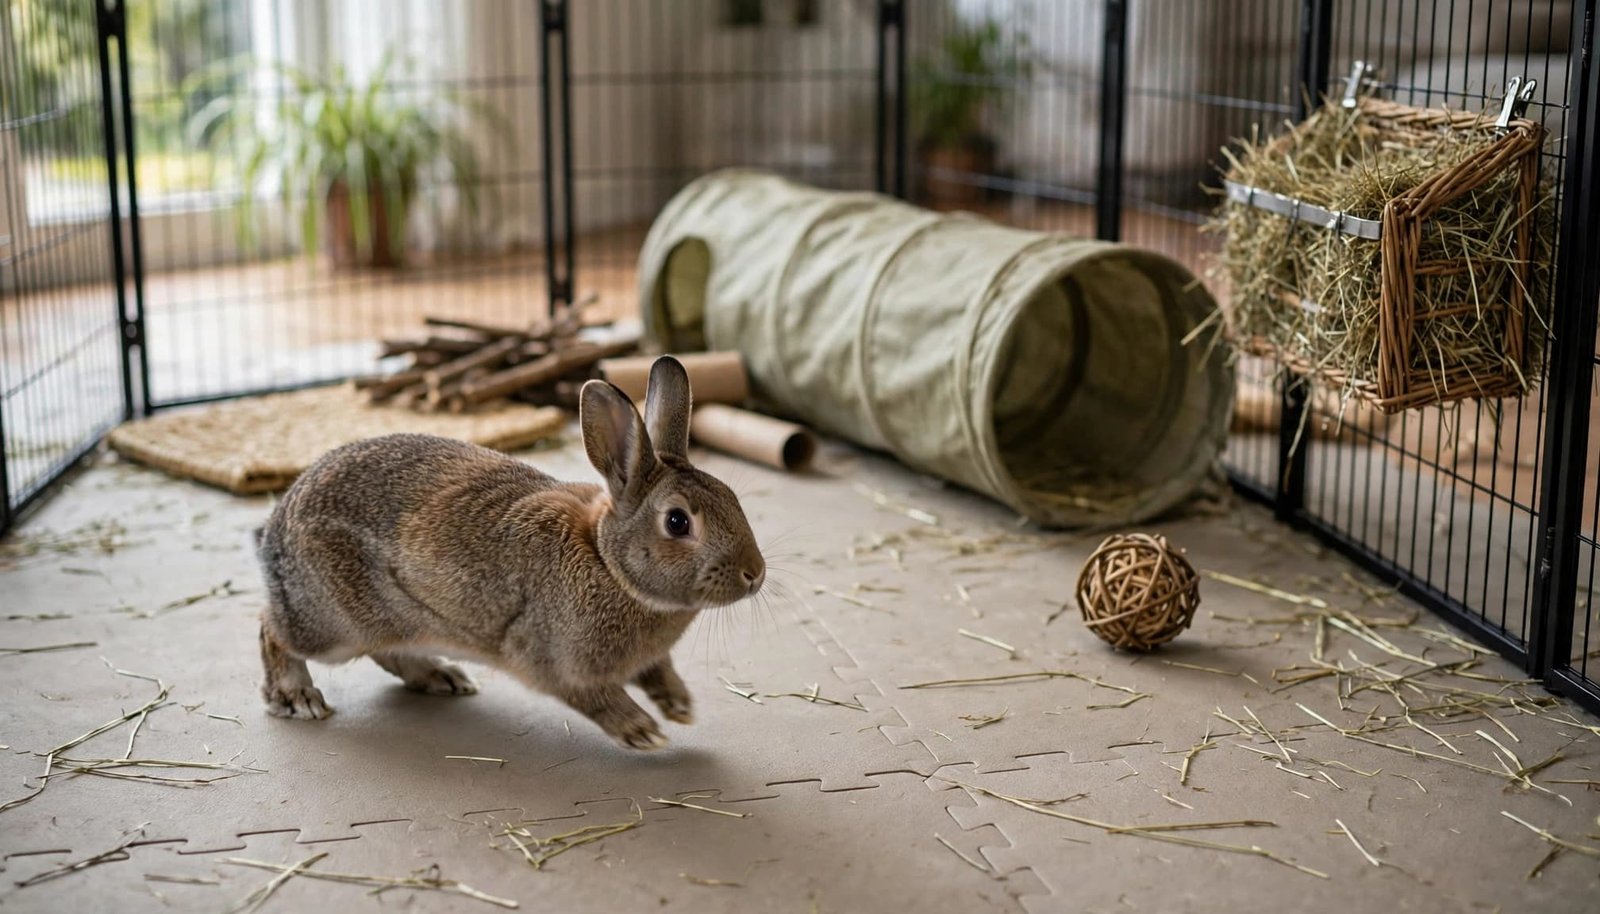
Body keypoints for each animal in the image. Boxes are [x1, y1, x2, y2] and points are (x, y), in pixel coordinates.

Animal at [253, 355, 766, 750]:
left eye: (732, 498)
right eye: (678, 522)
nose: (754, 574)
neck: (608, 561)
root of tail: (277, 526)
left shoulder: (645, 659)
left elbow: (659, 672)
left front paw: (680, 706)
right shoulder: (553, 661)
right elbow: (596, 698)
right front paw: (641, 730)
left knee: (390, 652)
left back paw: (441, 677)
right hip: (332, 625)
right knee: (272, 628)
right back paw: (298, 696)